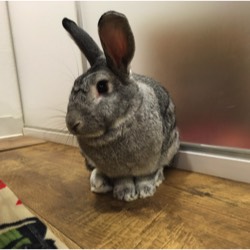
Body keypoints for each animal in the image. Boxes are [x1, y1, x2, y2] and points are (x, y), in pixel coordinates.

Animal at [62, 10, 180, 201]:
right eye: (74, 85)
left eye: (102, 86)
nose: (72, 123)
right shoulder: (117, 172)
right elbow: (122, 180)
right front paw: (124, 193)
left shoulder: (150, 162)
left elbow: (146, 176)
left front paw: (145, 190)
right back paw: (98, 183)